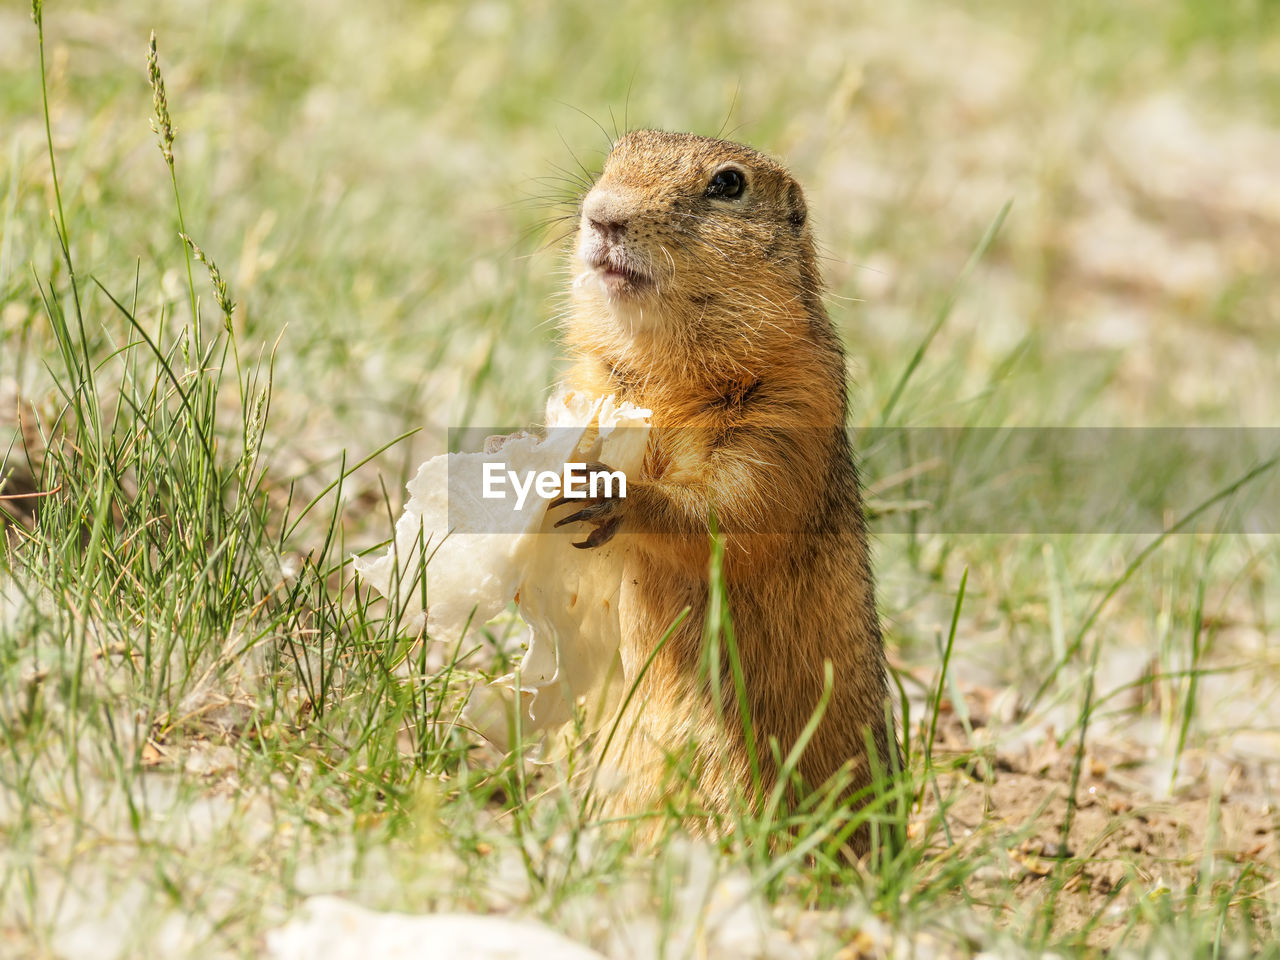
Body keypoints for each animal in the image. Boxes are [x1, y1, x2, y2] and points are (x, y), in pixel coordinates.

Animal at [552, 129, 901, 855]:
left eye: (728, 184)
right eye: (615, 152)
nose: (602, 214)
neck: (664, 368)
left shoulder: (788, 410)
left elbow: (733, 509)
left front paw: (612, 492)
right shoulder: (592, 374)